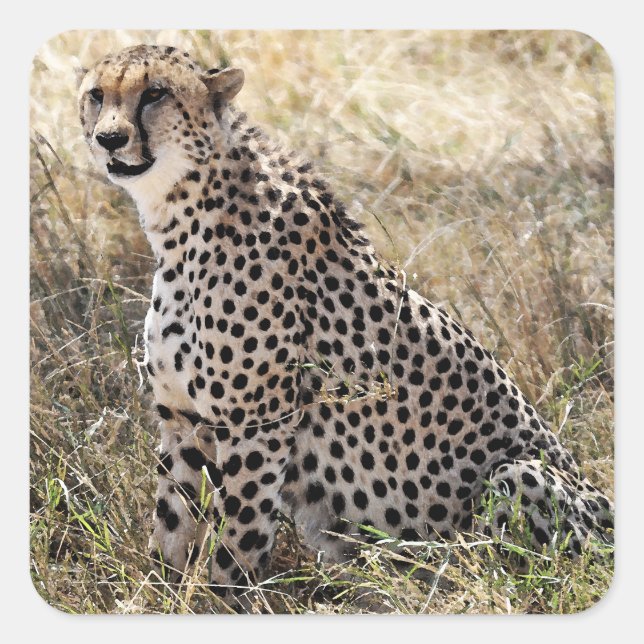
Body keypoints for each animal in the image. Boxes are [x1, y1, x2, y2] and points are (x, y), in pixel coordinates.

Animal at [78, 44, 613, 604]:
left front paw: (221, 602)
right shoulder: (183, 420)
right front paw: (156, 596)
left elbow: (237, 541)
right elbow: (171, 527)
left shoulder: (257, 425)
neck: (180, 216)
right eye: (97, 95)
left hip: (517, 476)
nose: (108, 138)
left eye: (154, 94)